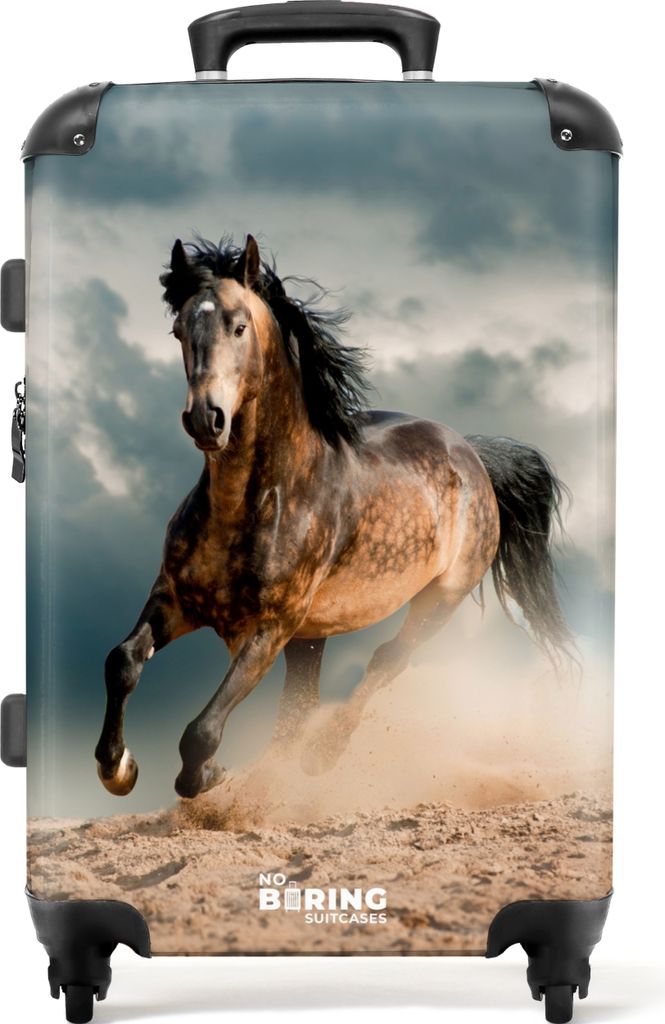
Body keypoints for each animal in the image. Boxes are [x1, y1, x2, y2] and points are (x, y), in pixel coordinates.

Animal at [95, 234, 573, 800]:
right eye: (178, 330)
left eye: (239, 326)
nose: (206, 419)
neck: (255, 502)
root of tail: (472, 454)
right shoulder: (175, 599)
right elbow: (123, 662)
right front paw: (118, 767)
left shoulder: (270, 628)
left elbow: (201, 731)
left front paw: (208, 776)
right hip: (312, 635)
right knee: (298, 707)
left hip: (438, 600)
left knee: (386, 661)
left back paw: (321, 756)